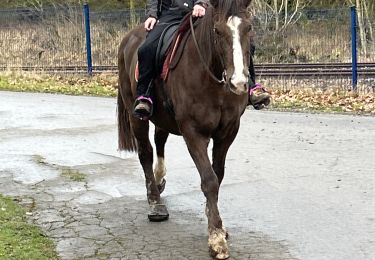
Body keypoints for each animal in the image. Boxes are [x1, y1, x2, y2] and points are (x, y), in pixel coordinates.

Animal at [117, 0, 253, 258]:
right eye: (217, 31)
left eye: (248, 28)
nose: (239, 82)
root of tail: (128, 38)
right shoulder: (193, 133)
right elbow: (209, 179)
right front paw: (216, 238)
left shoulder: (228, 132)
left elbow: (218, 176)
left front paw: (215, 223)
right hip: (136, 115)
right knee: (145, 153)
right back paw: (155, 202)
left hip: (162, 117)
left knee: (159, 141)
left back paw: (159, 180)